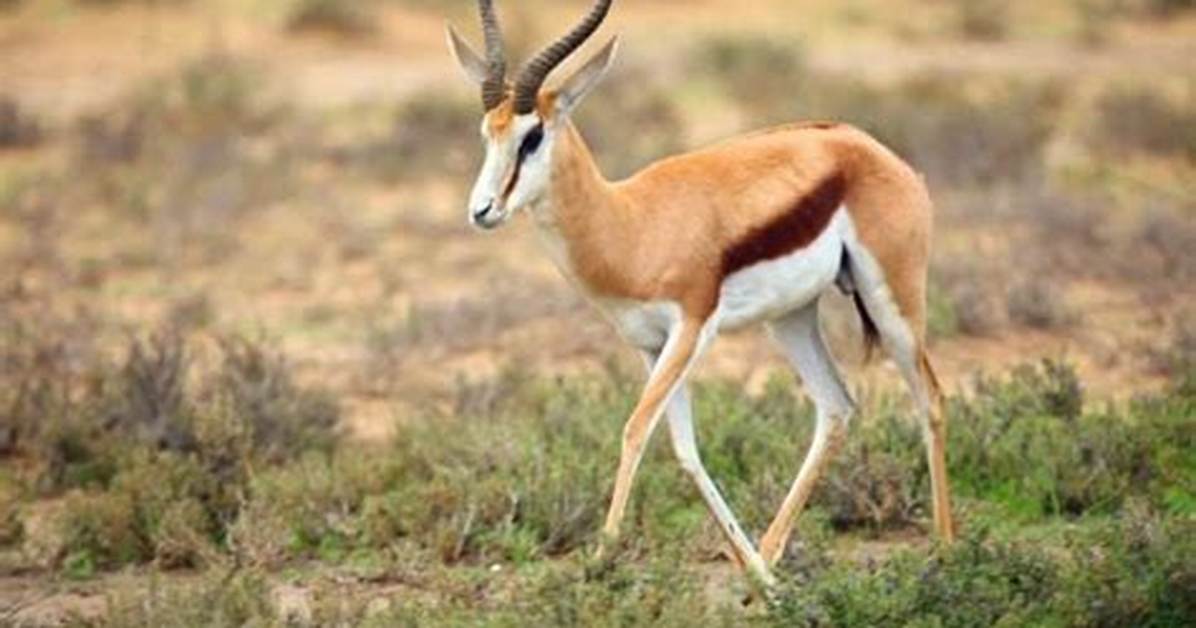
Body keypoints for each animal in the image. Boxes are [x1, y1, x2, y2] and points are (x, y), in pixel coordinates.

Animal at [446, 0, 955, 587]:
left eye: (533, 136)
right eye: (487, 131)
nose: (482, 211)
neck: (631, 224)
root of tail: (875, 149)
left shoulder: (692, 329)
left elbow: (635, 430)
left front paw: (600, 560)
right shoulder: (650, 346)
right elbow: (683, 447)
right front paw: (755, 574)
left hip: (893, 301)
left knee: (930, 399)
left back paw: (947, 553)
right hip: (791, 317)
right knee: (836, 407)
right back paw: (771, 561)